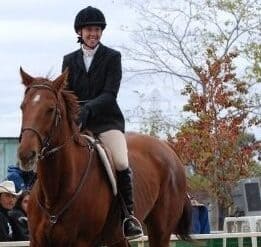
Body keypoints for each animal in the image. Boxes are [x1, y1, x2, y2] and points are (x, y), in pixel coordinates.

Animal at [17, 68, 190, 247]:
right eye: (23, 107)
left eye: (50, 109)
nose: (26, 155)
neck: (55, 192)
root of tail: (168, 149)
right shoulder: (37, 241)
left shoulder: (82, 241)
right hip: (118, 237)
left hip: (160, 230)